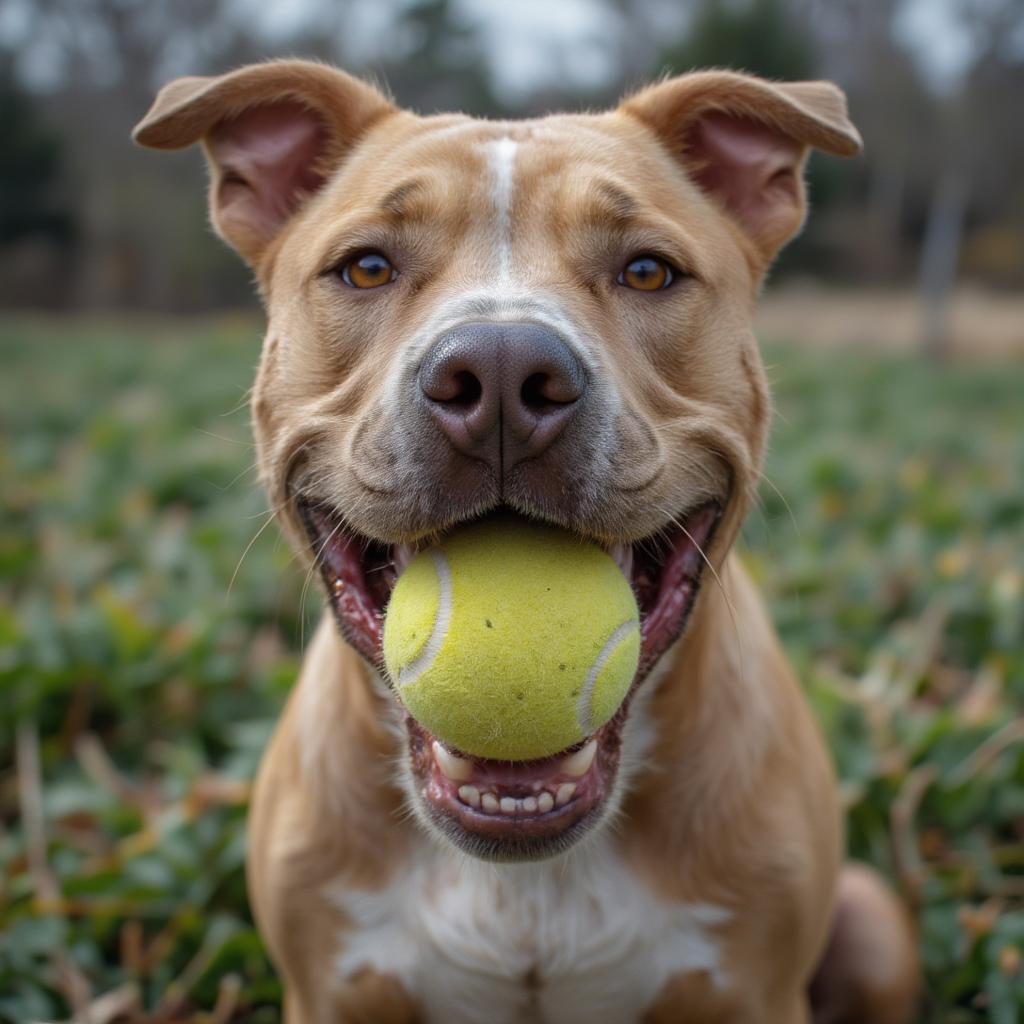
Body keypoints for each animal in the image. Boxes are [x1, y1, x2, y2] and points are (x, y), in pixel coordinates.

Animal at [134, 59, 921, 1019]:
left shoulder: (758, 994)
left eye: (648, 271)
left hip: (874, 923)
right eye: (366, 267)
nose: (503, 373)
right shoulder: (327, 993)